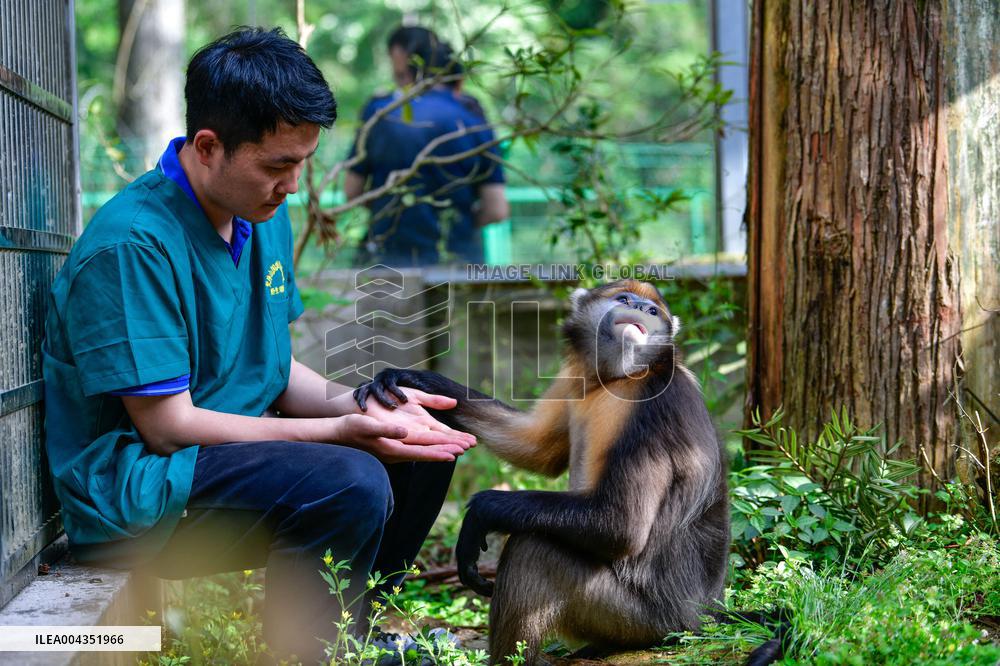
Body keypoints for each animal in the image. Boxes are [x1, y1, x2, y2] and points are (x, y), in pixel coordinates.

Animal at [355, 280, 779, 665]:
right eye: (625, 299)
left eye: (653, 311)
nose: (640, 311)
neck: (617, 379)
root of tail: (704, 613)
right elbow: (535, 448)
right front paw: (415, 380)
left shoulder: (653, 401)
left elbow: (621, 526)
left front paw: (480, 514)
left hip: (643, 620)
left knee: (533, 548)